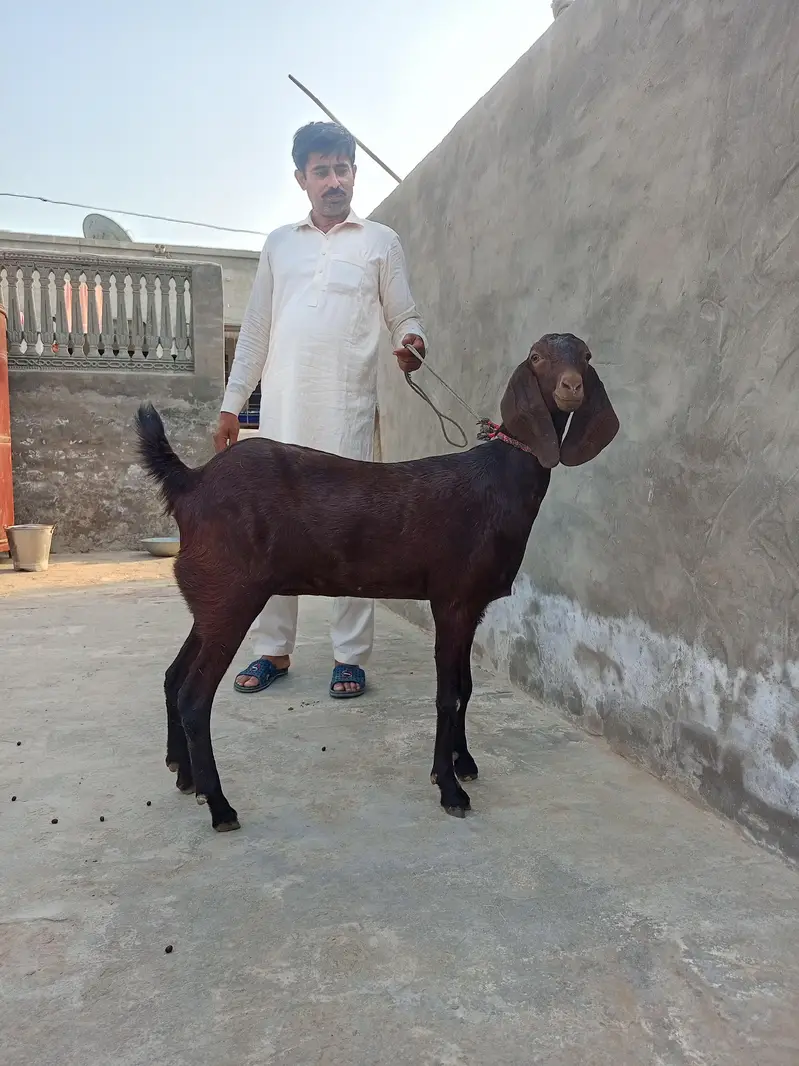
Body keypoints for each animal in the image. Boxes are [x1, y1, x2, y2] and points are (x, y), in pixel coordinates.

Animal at [135, 332, 619, 832]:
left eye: (586, 356)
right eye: (538, 357)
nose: (571, 387)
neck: (499, 479)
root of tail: (190, 483)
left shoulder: (471, 606)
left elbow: (466, 688)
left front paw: (464, 762)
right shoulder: (452, 599)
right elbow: (448, 695)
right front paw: (449, 787)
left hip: (211, 597)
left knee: (173, 676)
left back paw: (184, 774)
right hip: (232, 594)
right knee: (195, 697)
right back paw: (219, 805)